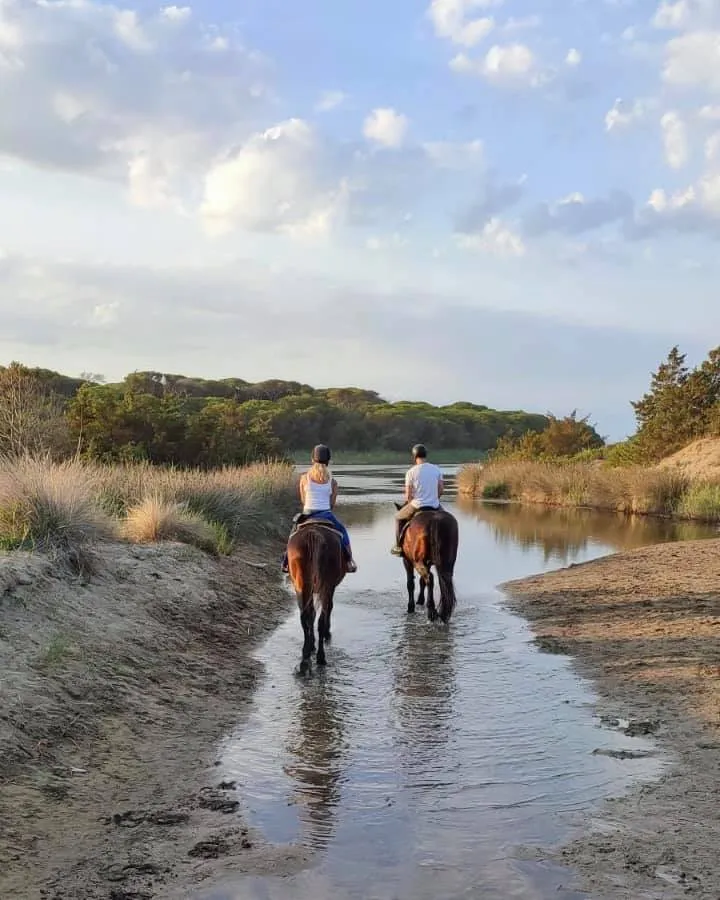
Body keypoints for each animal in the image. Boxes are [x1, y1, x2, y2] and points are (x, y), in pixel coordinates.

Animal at [286, 520, 347, 675]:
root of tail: (313, 534)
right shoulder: (330, 587)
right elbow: (328, 609)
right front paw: (325, 634)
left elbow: (311, 614)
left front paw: (311, 644)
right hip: (326, 586)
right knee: (321, 619)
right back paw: (320, 657)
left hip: (301, 585)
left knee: (305, 617)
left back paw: (305, 659)